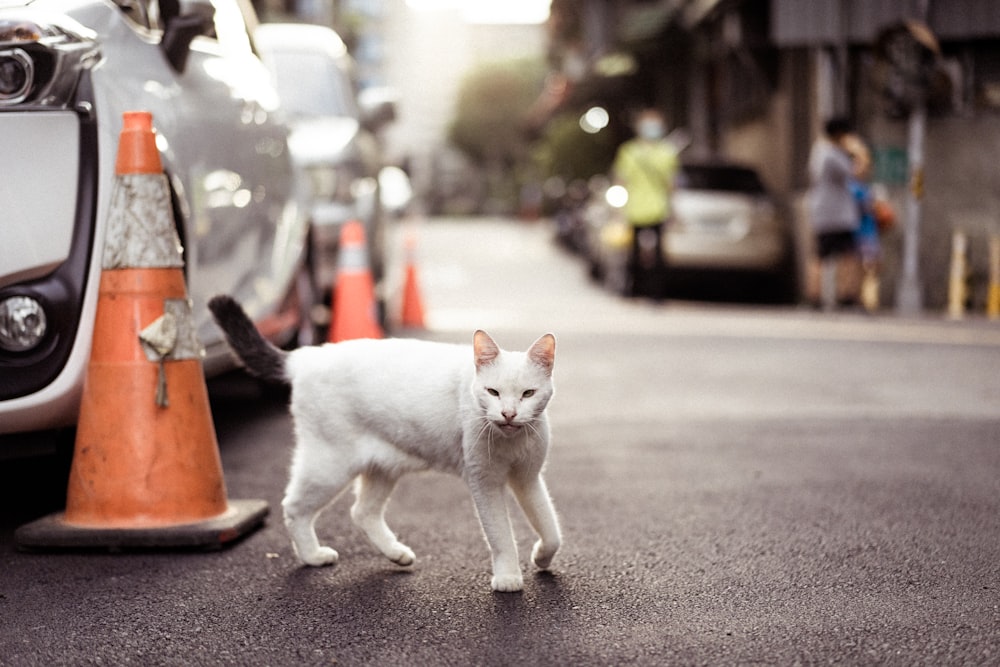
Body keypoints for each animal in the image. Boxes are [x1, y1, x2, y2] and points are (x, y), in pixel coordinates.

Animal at [209, 294, 564, 592]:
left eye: (527, 394)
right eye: (492, 392)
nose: (508, 414)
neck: (511, 439)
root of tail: (307, 356)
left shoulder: (528, 479)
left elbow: (551, 529)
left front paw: (541, 558)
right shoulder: (484, 483)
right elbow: (501, 535)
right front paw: (508, 578)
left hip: (383, 467)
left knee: (361, 512)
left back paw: (396, 554)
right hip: (329, 466)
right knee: (294, 507)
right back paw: (313, 556)